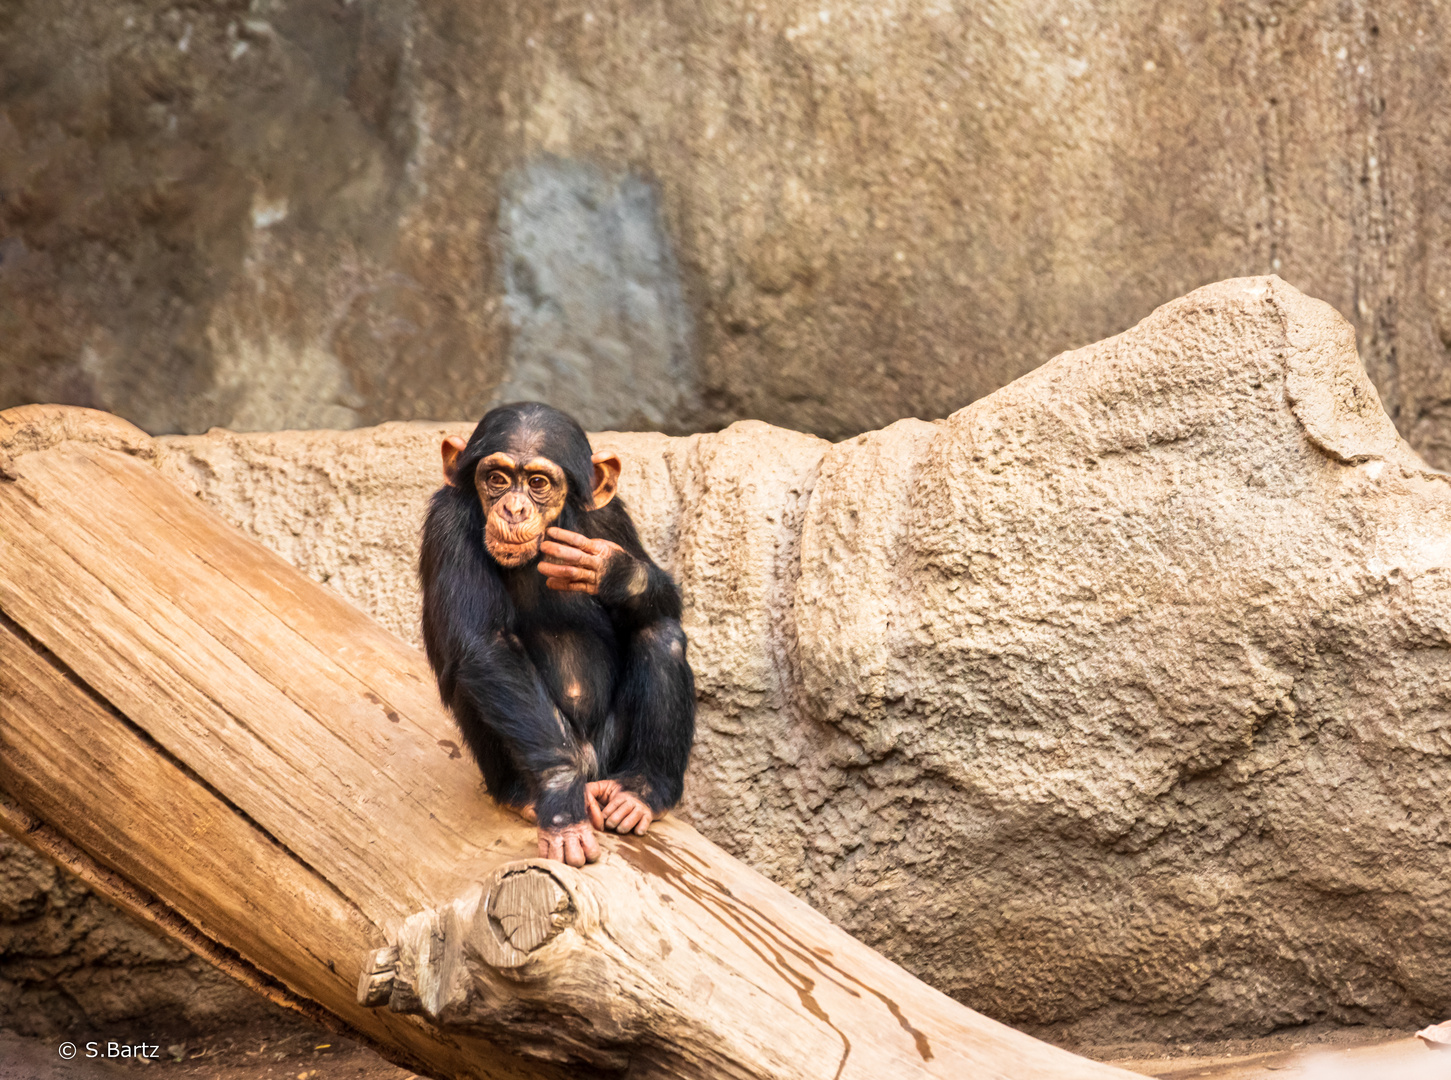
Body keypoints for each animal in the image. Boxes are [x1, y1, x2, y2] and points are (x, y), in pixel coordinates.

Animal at [420, 400, 696, 865]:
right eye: (496, 479)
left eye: (538, 483)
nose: (513, 509)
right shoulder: (447, 523)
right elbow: (486, 645)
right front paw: (560, 800)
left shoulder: (611, 516)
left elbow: (665, 604)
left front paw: (613, 571)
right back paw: (528, 795)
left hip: (608, 756)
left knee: (660, 632)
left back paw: (642, 788)